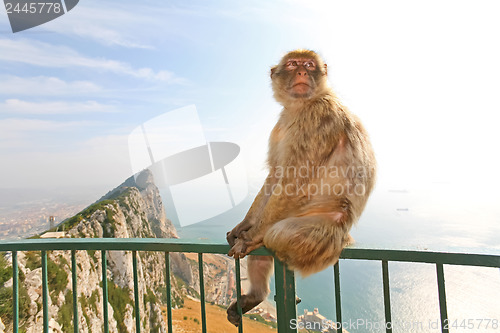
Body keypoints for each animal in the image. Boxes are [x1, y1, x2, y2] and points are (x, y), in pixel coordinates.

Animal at [226, 49, 376, 324]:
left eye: (309, 64)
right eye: (293, 64)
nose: (302, 72)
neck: (300, 107)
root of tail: (345, 234)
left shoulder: (317, 118)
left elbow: (294, 180)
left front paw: (250, 235)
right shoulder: (281, 125)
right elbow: (276, 175)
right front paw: (244, 226)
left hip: (321, 235)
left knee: (275, 235)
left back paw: (260, 243)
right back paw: (256, 294)